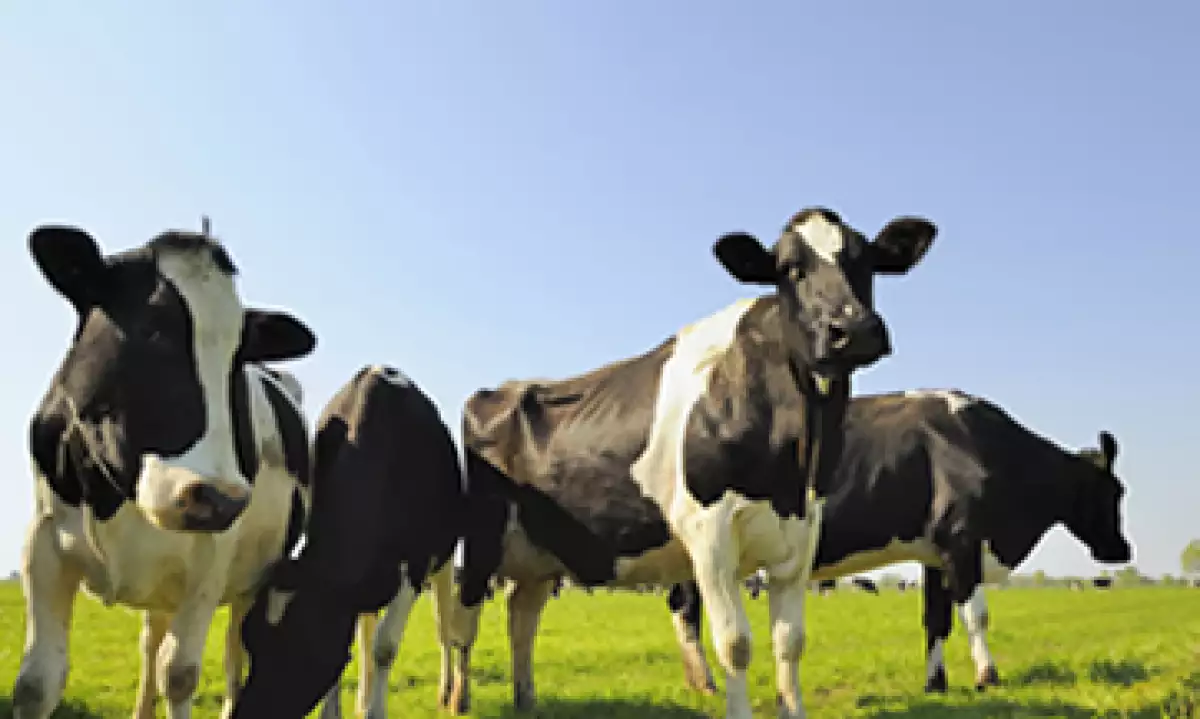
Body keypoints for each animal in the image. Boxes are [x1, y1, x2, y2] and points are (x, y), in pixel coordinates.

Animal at [11, 223, 317, 719]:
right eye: (152, 328)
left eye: (238, 358)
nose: (219, 498)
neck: (115, 493)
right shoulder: (43, 541)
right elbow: (37, 685)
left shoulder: (211, 556)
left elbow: (179, 675)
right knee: (152, 640)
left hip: (254, 578)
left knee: (234, 651)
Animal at [231, 364, 465, 719]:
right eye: (251, 640)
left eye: (300, 651)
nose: (245, 714)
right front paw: (335, 712)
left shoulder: (415, 563)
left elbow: (385, 647)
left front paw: (375, 712)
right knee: (367, 629)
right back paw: (362, 697)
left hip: (445, 561)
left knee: (442, 625)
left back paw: (445, 691)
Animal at [439, 206, 938, 719]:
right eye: (789, 270)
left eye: (866, 263)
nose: (852, 330)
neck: (793, 465)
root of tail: (502, 388)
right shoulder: (709, 533)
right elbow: (736, 643)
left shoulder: (801, 534)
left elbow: (790, 642)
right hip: (482, 538)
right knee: (463, 620)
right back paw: (458, 698)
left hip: (541, 551)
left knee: (522, 615)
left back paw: (526, 699)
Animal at [664, 388, 1133, 698]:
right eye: (1114, 491)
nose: (1122, 550)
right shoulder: (962, 542)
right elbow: (976, 615)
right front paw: (987, 675)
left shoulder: (936, 555)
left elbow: (937, 621)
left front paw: (936, 683)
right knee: (686, 609)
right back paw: (705, 682)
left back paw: (696, 681)